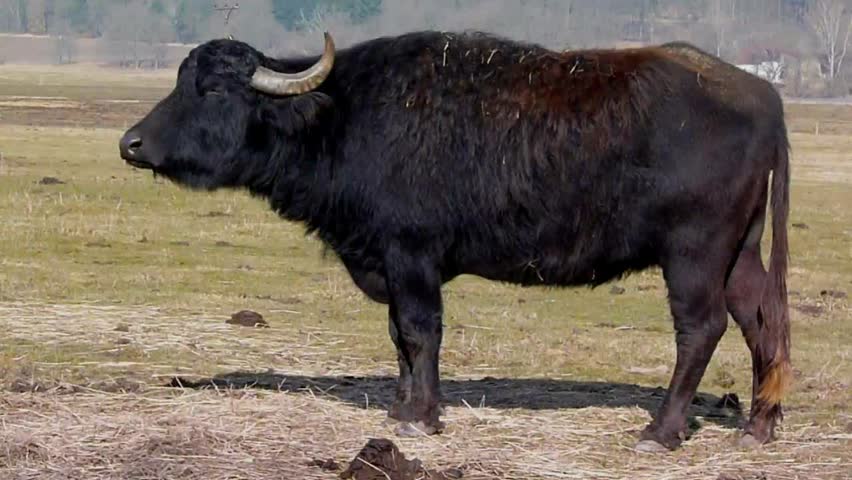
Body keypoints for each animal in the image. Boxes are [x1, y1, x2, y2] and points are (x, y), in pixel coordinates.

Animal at [119, 31, 791, 452]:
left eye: (212, 90)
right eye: (181, 80)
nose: (132, 144)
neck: (340, 116)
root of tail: (762, 94)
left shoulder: (412, 256)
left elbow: (421, 332)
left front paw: (422, 417)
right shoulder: (389, 264)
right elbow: (398, 336)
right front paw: (401, 407)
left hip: (694, 255)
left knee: (701, 329)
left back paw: (661, 431)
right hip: (742, 254)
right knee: (761, 321)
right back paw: (757, 427)